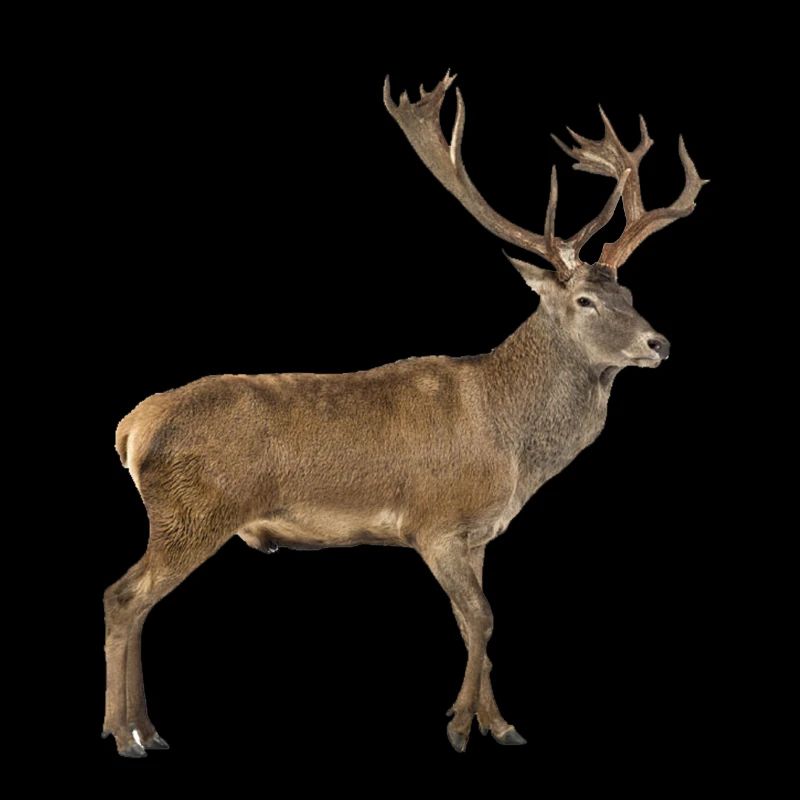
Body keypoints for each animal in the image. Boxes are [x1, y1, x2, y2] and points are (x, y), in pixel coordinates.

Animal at [103, 71, 706, 757]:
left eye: (628, 292)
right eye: (585, 300)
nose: (659, 343)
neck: (511, 446)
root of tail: (131, 428)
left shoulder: (478, 532)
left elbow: (477, 622)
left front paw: (498, 724)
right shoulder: (434, 521)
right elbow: (481, 618)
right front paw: (462, 727)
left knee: (134, 601)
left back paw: (143, 729)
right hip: (192, 512)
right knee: (123, 597)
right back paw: (126, 734)